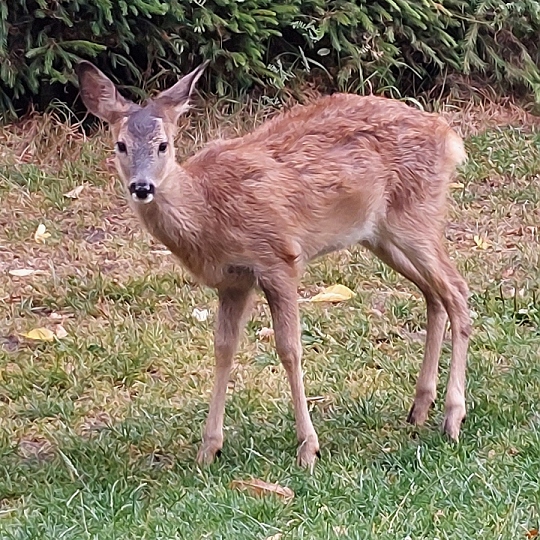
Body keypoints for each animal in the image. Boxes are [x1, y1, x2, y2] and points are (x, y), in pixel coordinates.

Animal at [77, 60, 472, 468]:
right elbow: (223, 348)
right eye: (120, 145)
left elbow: (289, 348)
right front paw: (208, 448)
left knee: (457, 290)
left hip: (415, 216)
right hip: (380, 234)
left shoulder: (278, 258)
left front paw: (308, 448)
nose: (142, 187)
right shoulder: (233, 281)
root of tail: (448, 137)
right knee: (434, 294)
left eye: (163, 145)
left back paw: (452, 417)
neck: (207, 208)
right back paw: (419, 408)